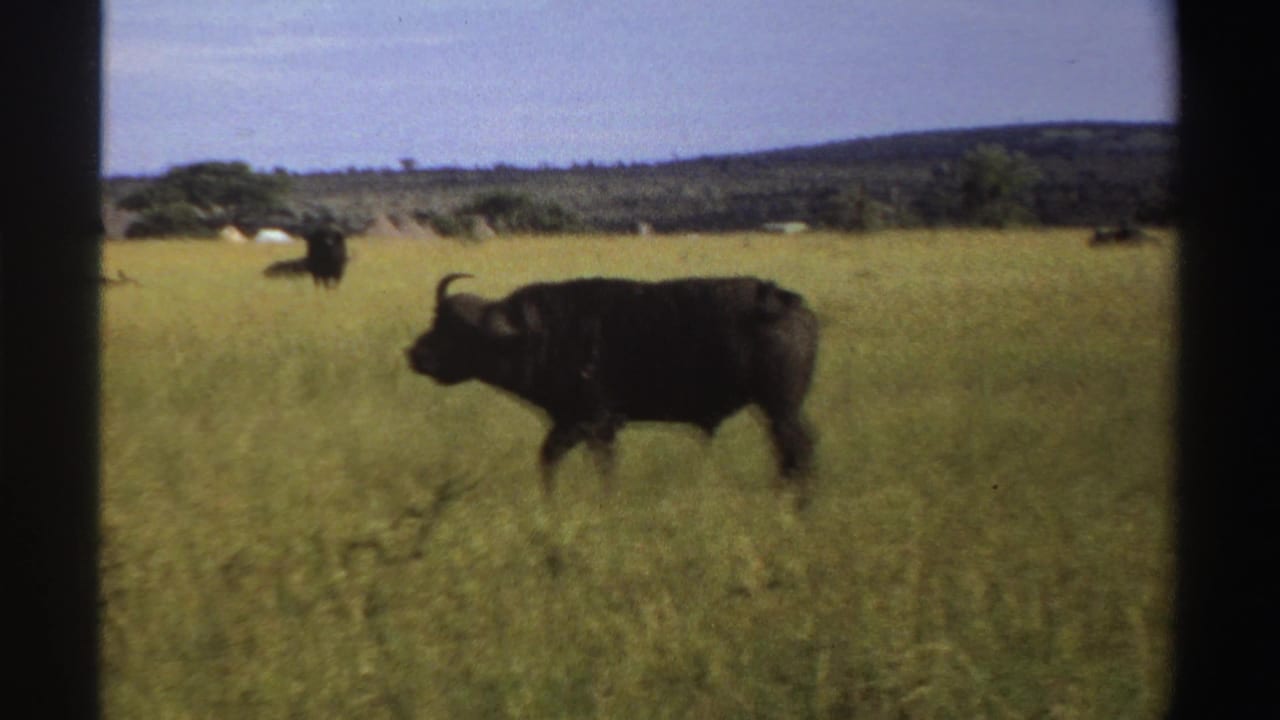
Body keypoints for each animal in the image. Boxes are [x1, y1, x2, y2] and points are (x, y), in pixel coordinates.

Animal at [406, 273, 819, 501]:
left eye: (456, 329)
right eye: (437, 320)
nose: (415, 354)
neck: (541, 334)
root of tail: (785, 301)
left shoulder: (591, 423)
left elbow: (584, 466)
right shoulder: (580, 426)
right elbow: (559, 461)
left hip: (781, 409)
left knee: (798, 451)